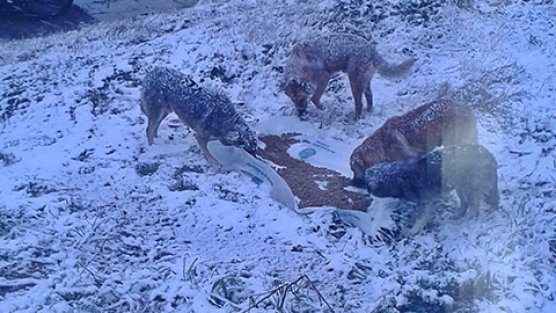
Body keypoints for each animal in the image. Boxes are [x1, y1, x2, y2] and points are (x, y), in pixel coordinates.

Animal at [284, 33, 414, 119]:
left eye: (301, 98)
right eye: (293, 100)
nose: (301, 115)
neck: (298, 65)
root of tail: (371, 49)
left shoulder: (325, 78)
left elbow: (314, 98)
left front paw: (322, 108)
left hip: (354, 81)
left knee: (359, 103)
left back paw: (355, 119)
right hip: (364, 81)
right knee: (369, 96)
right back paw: (369, 112)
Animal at [364, 144, 500, 234]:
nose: (368, 193)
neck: (396, 177)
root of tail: (490, 156)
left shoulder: (425, 201)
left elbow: (420, 217)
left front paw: (414, 230)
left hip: (469, 187)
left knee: (474, 206)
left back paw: (469, 219)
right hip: (460, 186)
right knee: (465, 203)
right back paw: (458, 214)